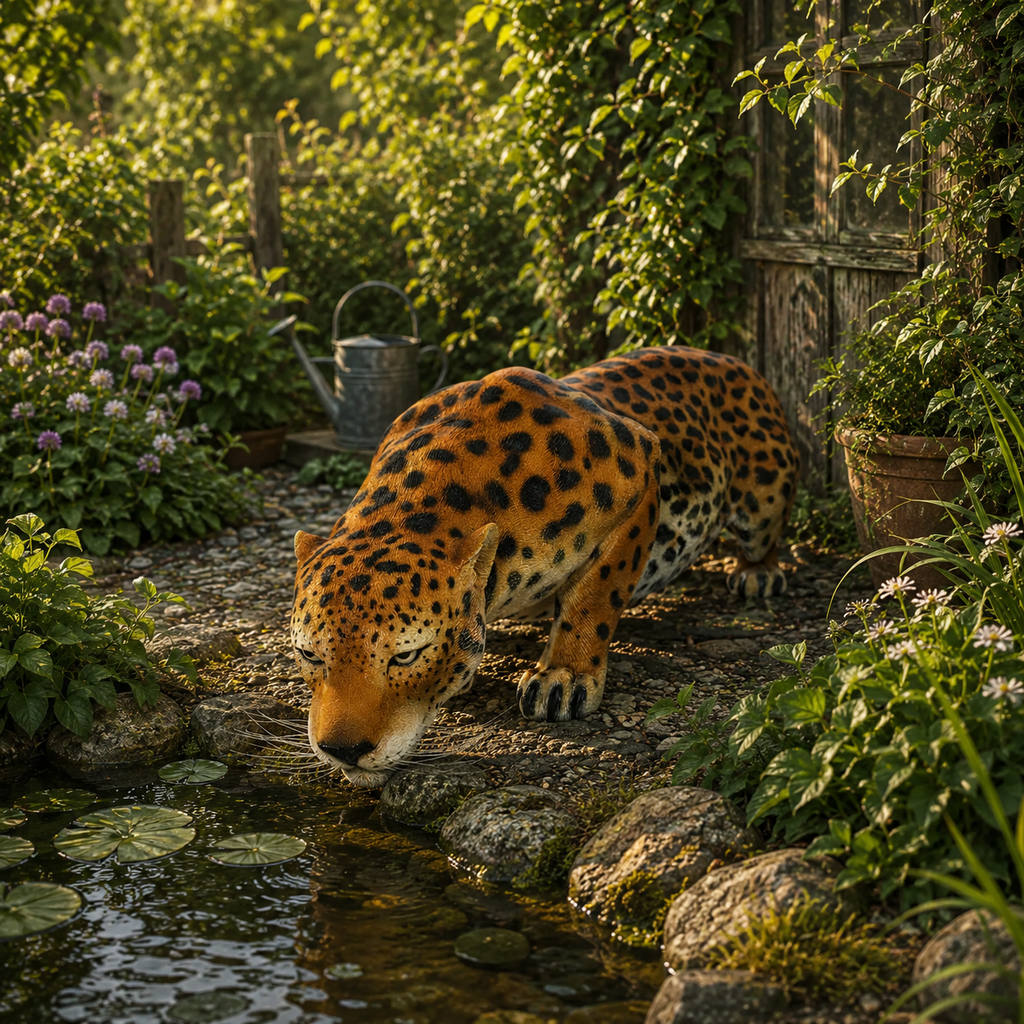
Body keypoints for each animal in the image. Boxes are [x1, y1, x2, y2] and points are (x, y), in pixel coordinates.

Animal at [291, 345, 800, 786]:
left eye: (406, 656)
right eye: (309, 655)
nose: (343, 750)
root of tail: (727, 356)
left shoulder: (640, 470)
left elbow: (597, 594)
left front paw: (564, 676)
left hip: (763, 500)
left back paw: (757, 573)